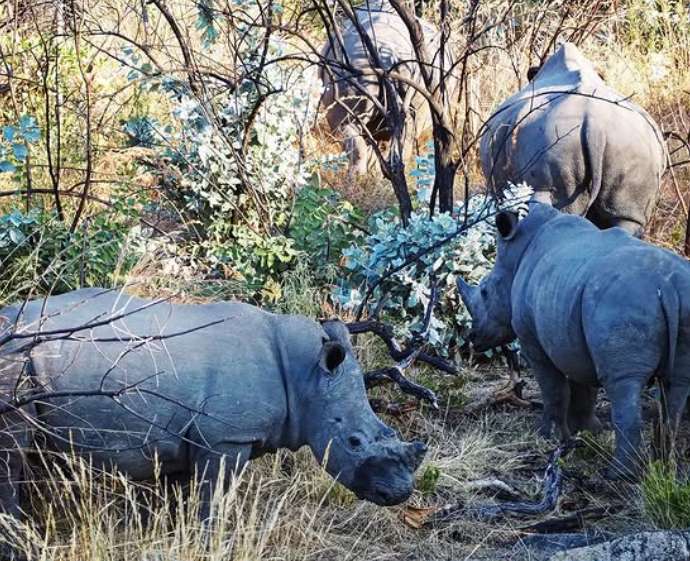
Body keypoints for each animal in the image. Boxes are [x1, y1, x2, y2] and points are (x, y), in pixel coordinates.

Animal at [0, 290, 424, 520]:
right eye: (354, 441)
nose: (401, 494)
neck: (306, 375)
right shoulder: (226, 438)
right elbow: (213, 500)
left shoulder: (182, 439)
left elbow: (176, 501)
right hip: (14, 359)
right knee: (12, 453)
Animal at [456, 201, 688, 476]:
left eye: (484, 291)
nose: (474, 338)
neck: (517, 254)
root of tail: (667, 286)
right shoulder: (572, 329)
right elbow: (583, 385)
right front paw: (586, 431)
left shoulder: (531, 337)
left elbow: (554, 388)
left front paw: (548, 436)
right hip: (679, 298)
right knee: (677, 384)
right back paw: (665, 464)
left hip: (623, 302)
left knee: (623, 383)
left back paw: (620, 474)